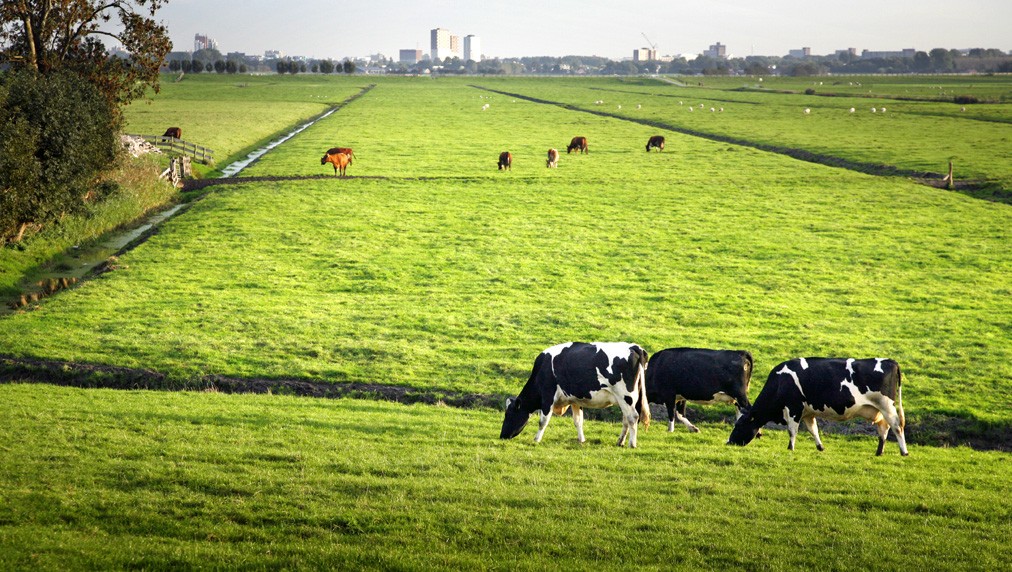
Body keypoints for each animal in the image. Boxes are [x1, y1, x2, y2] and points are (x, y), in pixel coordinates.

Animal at [499, 342, 655, 447]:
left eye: (508, 414)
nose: (502, 436)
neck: (541, 371)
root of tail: (634, 347)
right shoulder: (575, 400)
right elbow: (578, 421)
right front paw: (581, 440)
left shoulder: (547, 396)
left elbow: (543, 421)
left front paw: (536, 439)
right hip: (625, 399)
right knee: (626, 419)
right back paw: (620, 441)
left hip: (626, 396)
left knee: (633, 417)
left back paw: (631, 444)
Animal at [728, 356, 910, 455]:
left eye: (738, 426)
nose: (728, 442)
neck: (780, 382)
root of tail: (891, 361)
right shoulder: (808, 413)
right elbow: (813, 429)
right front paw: (820, 447)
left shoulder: (794, 408)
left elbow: (792, 430)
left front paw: (790, 448)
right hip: (879, 410)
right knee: (884, 428)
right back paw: (879, 452)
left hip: (887, 406)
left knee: (897, 426)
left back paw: (904, 452)